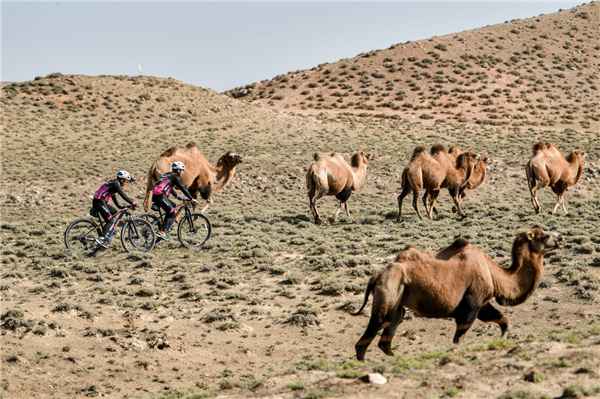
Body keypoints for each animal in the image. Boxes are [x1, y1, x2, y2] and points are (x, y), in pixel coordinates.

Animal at [354, 227, 560, 360]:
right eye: (544, 236)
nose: (559, 240)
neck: (494, 273)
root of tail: (376, 275)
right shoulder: (472, 304)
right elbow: (458, 337)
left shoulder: (482, 303)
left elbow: (502, 319)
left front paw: (502, 340)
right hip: (388, 294)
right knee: (371, 330)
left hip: (398, 305)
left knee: (387, 335)